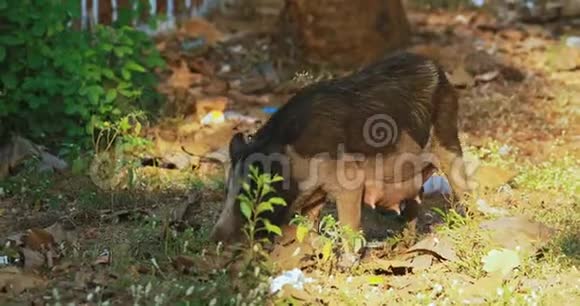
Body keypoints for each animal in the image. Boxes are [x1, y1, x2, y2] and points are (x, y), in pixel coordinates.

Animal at [211, 51, 474, 245]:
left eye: (253, 190)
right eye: (228, 189)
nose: (216, 236)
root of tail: (436, 68)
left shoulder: (348, 180)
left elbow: (349, 223)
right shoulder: (315, 192)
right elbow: (308, 223)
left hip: (447, 135)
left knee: (461, 182)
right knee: (413, 206)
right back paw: (402, 245)